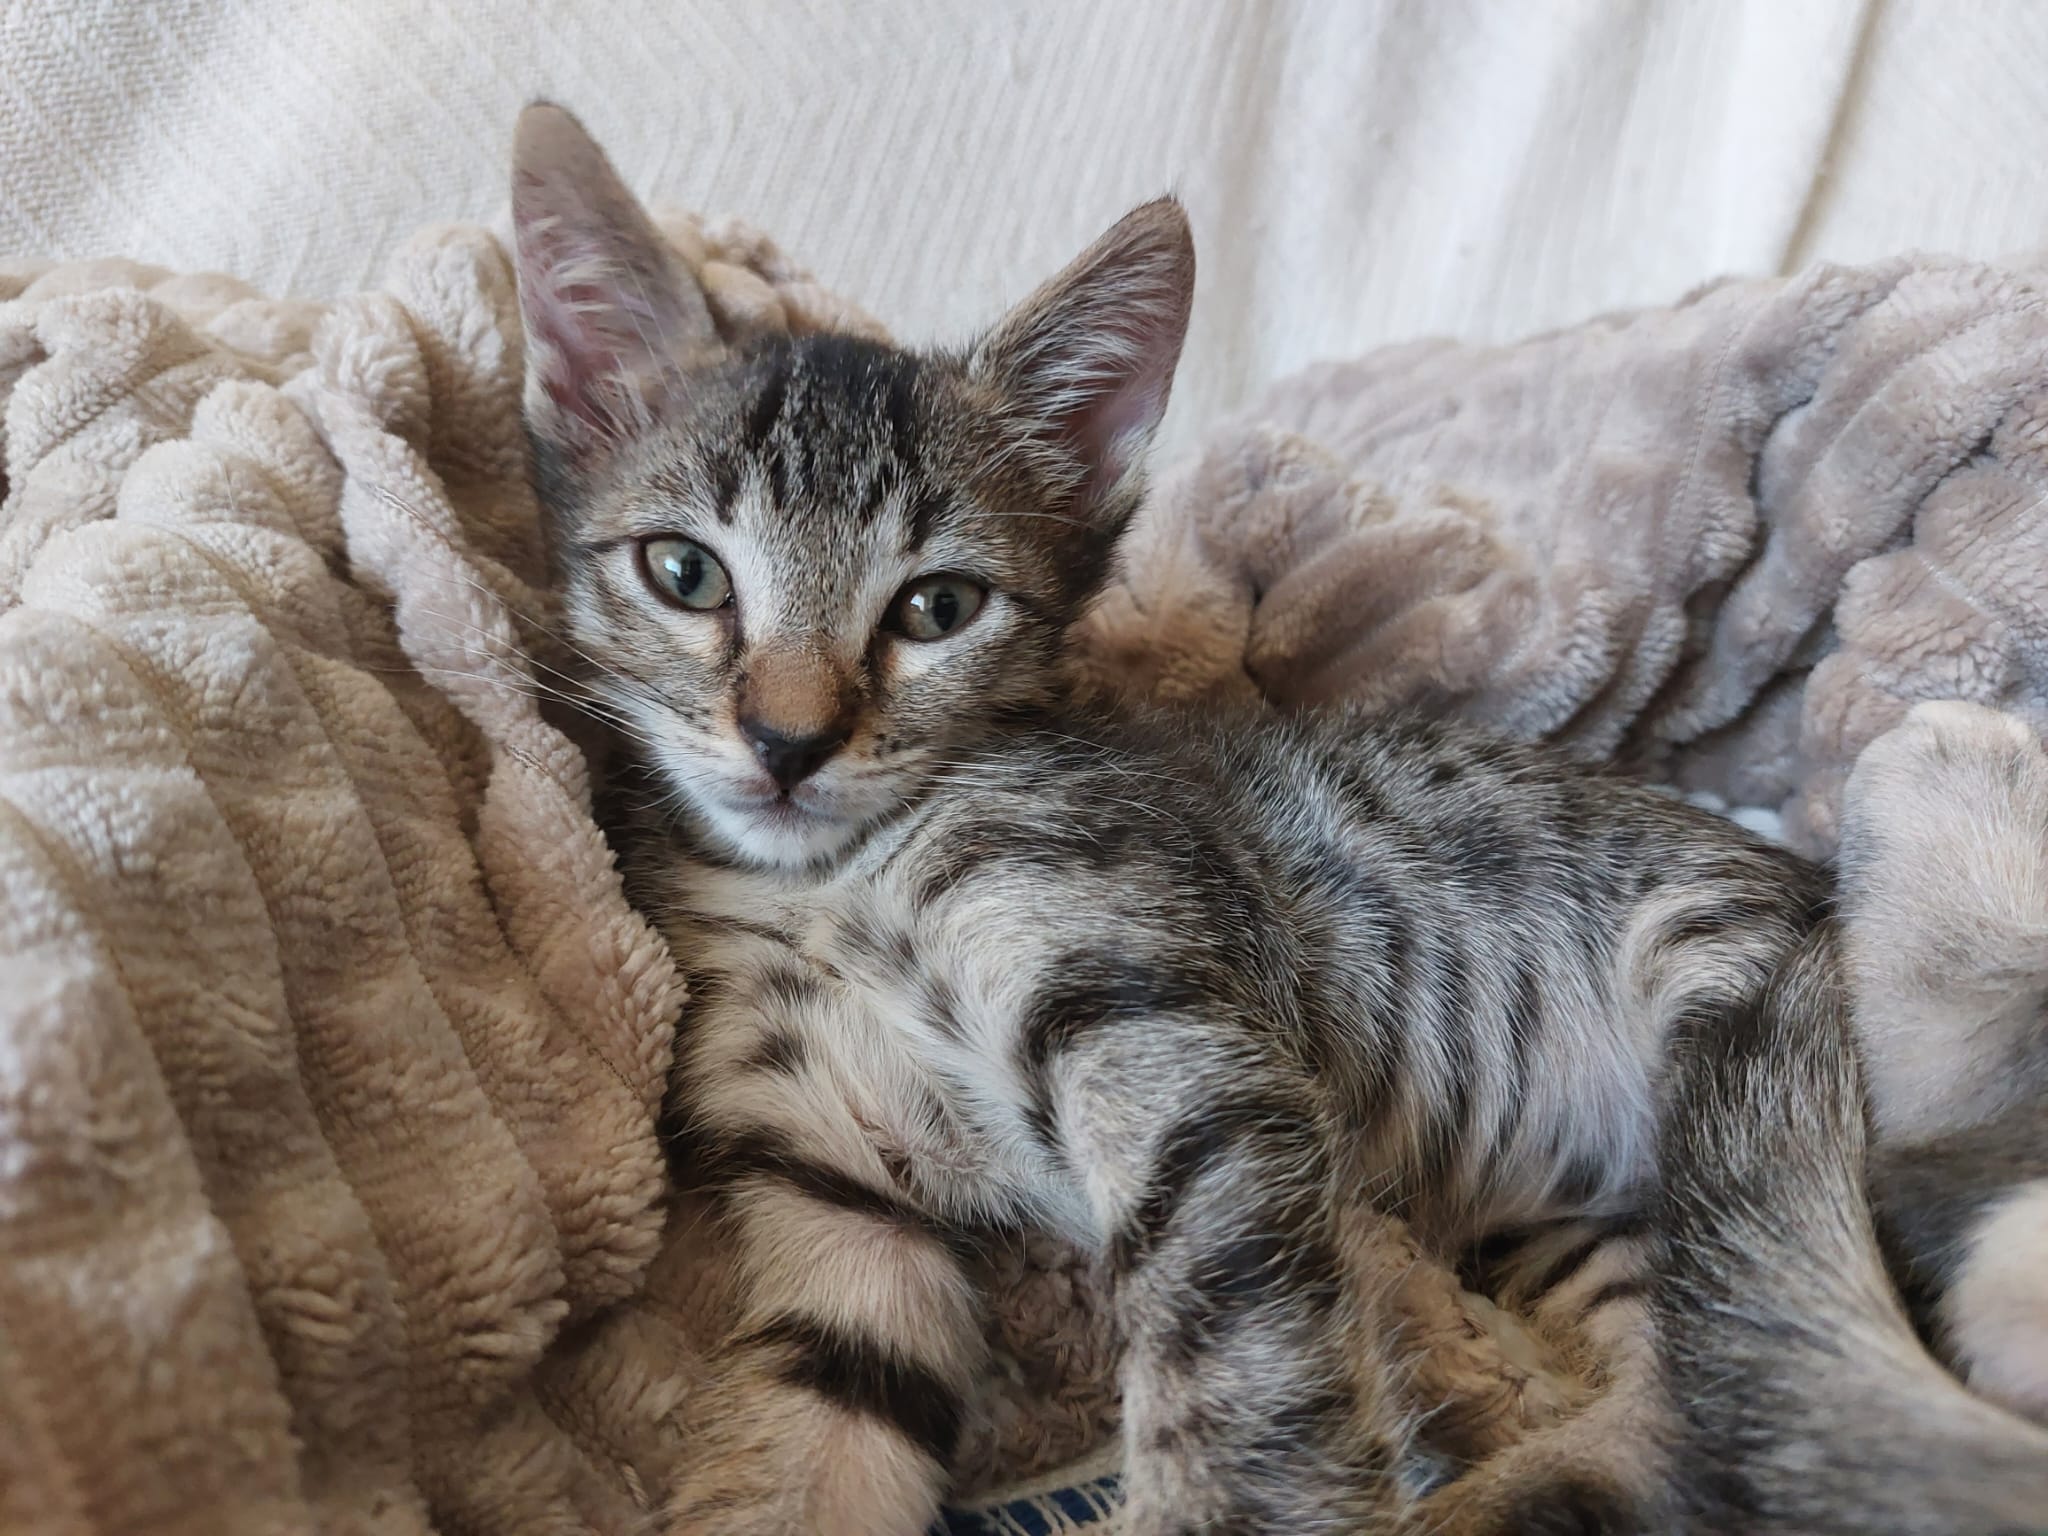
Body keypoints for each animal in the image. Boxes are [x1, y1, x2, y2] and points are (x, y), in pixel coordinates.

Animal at [509, 102, 2048, 1534]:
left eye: (937, 607)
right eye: (684, 573)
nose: (788, 741)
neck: (827, 883)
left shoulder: (1174, 1042)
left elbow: (1236, 1386)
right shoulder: (835, 1194)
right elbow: (814, 1443)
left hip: (1716, 955)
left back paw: (1946, 785)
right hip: (1609, 1225)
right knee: (1701, 1389)